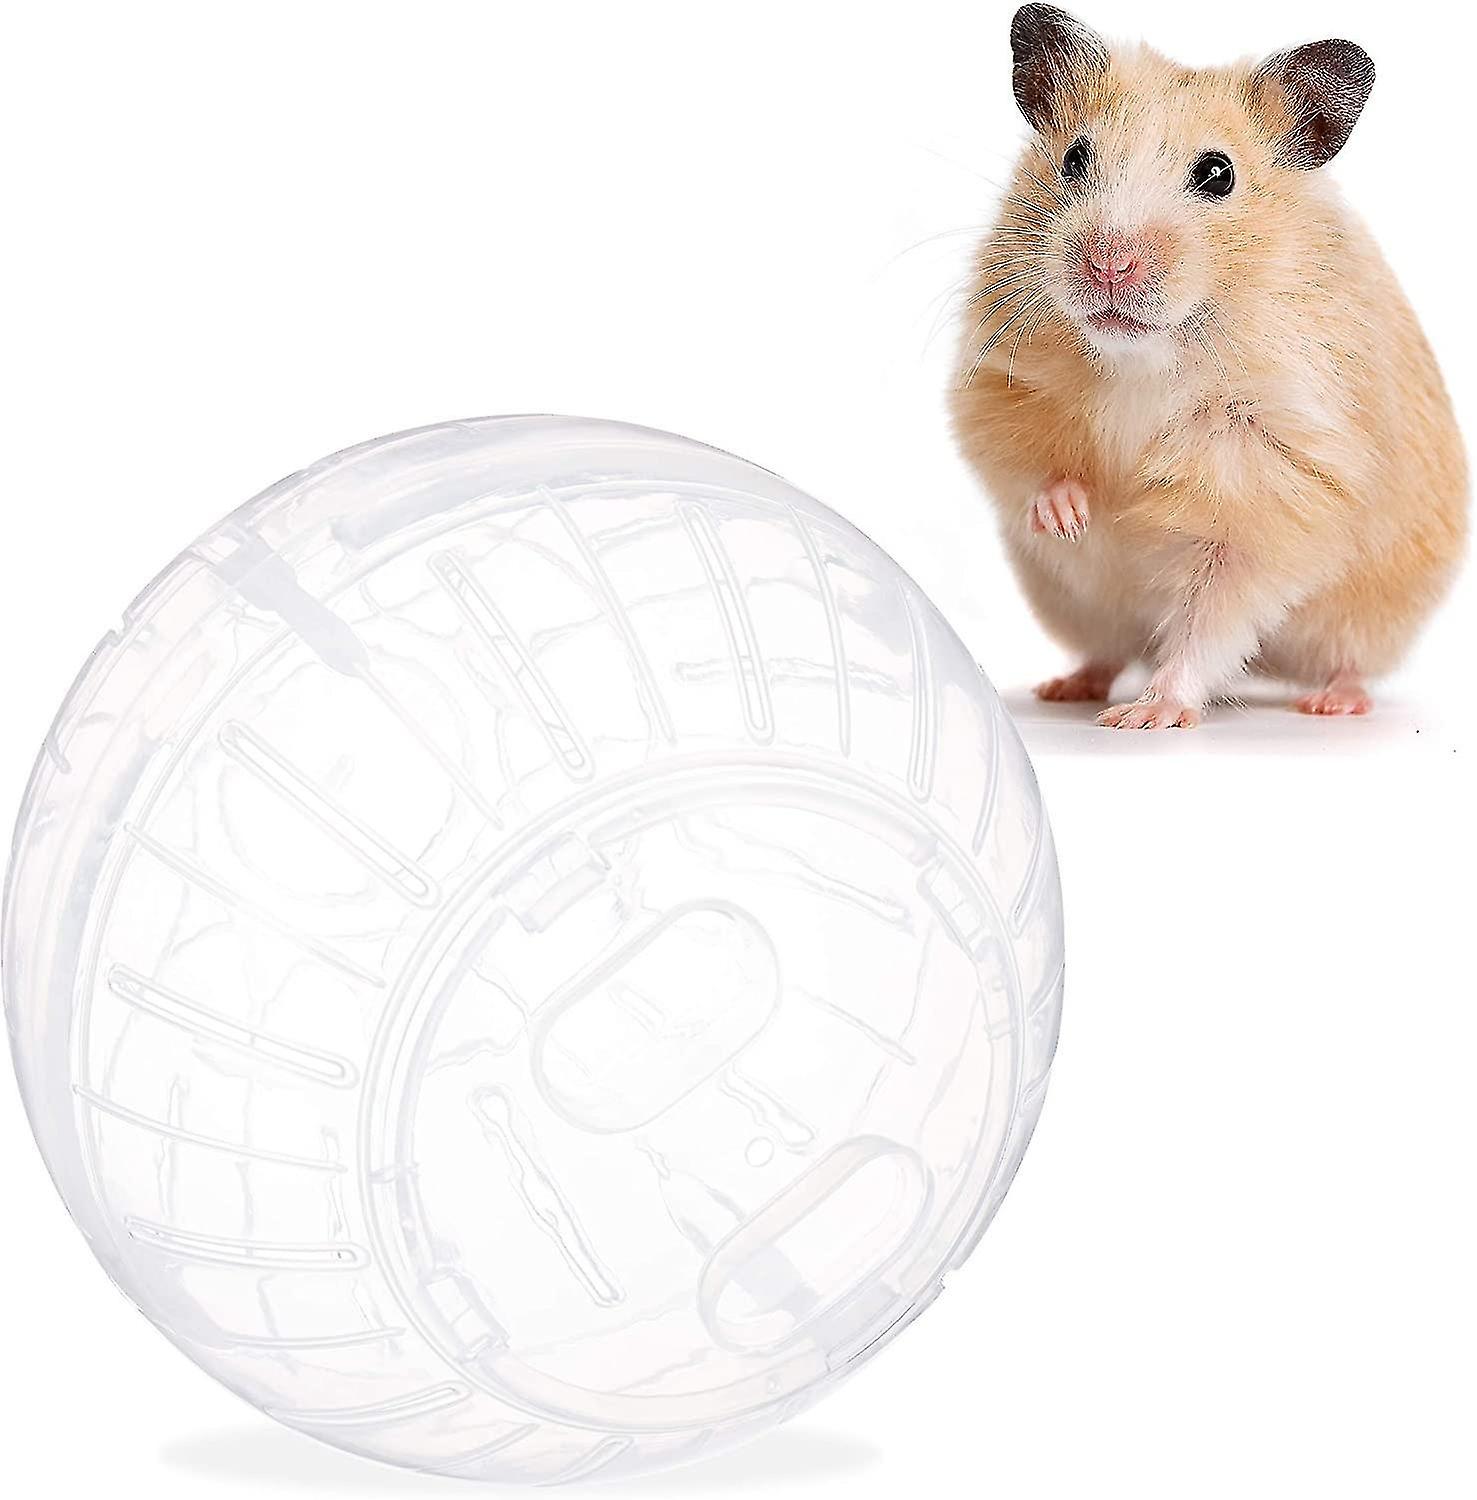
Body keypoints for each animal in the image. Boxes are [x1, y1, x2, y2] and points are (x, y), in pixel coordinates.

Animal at [951, 5, 1467, 727]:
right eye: (1074, 157)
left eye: (1218, 174)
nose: (1108, 264)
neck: (1143, 359)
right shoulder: (998, 385)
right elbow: (1028, 467)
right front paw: (1072, 516)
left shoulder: (1268, 490)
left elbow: (1210, 616)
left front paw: (1146, 717)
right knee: (1109, 650)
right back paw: (1065, 687)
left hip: (1372, 617)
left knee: (1344, 660)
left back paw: (1330, 703)